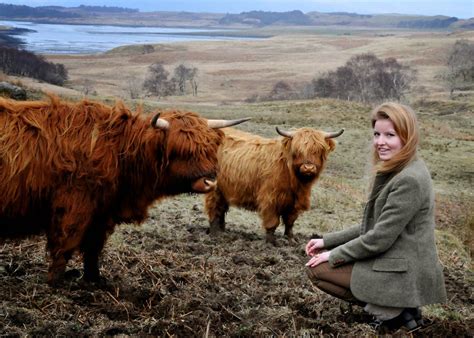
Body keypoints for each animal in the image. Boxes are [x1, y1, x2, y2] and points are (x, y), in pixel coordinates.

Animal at [0, 95, 250, 286]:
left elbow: (93, 248)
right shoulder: (74, 206)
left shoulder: (102, 212)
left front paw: (95, 281)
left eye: (210, 148)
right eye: (181, 151)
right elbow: (66, 244)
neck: (122, 153)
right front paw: (56, 283)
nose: (210, 182)